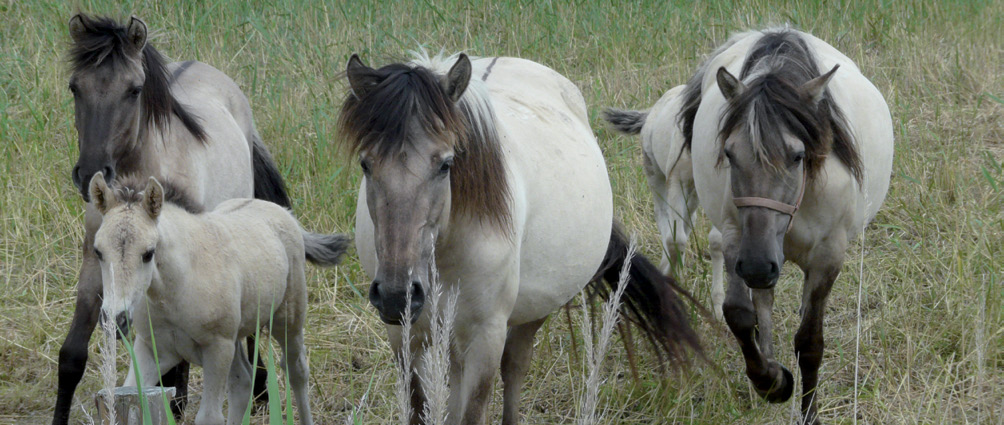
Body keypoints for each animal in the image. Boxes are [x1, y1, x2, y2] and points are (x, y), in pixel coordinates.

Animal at [90, 172, 349, 425]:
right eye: (98, 251)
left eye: (148, 253)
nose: (115, 319)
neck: (176, 289)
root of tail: (284, 213)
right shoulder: (152, 349)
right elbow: (127, 396)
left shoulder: (218, 348)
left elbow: (209, 417)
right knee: (243, 381)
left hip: (288, 319)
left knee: (296, 370)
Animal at [337, 51, 698, 423]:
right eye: (366, 164)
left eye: (446, 164)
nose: (397, 295)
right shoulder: (403, 336)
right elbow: (419, 407)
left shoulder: (486, 336)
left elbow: (474, 409)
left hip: (536, 307)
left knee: (514, 367)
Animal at [602, 28, 895, 423]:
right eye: (729, 153)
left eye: (798, 156)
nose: (757, 265)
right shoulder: (738, 239)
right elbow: (740, 314)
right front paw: (771, 381)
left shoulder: (827, 256)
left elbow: (810, 341)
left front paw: (808, 411)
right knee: (761, 302)